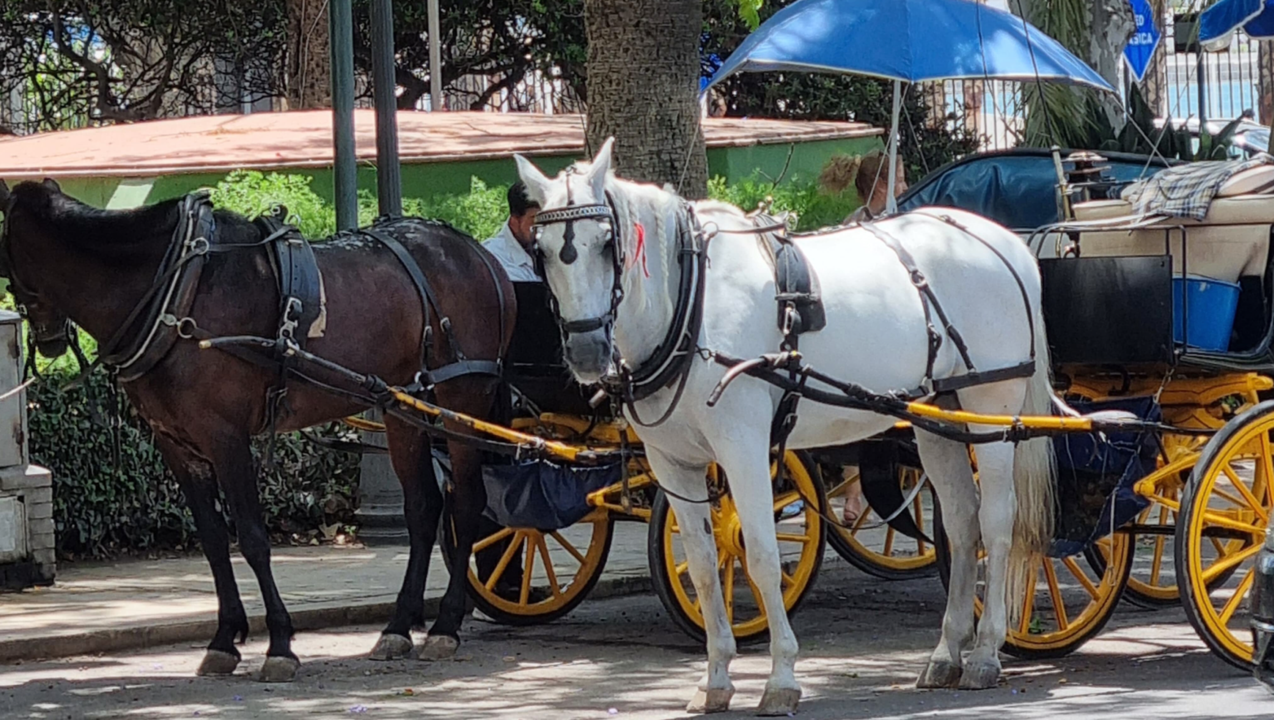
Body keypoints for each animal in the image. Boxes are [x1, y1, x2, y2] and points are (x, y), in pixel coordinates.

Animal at [1, 178, 517, 677]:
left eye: (6, 262)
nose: (47, 340)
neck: (174, 290)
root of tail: (478, 253)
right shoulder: (176, 443)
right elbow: (213, 539)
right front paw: (224, 638)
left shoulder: (224, 437)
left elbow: (251, 536)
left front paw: (280, 644)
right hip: (402, 406)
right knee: (423, 508)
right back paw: (398, 625)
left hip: (461, 397)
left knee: (467, 502)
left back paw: (446, 624)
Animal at [514, 140, 1054, 713]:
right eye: (542, 250)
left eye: (604, 244)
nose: (587, 351)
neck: (690, 304)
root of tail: (1003, 243)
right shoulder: (673, 464)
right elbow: (703, 566)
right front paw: (715, 680)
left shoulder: (744, 449)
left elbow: (761, 556)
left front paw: (781, 678)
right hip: (939, 416)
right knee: (961, 522)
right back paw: (948, 652)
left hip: (991, 409)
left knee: (997, 522)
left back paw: (986, 652)